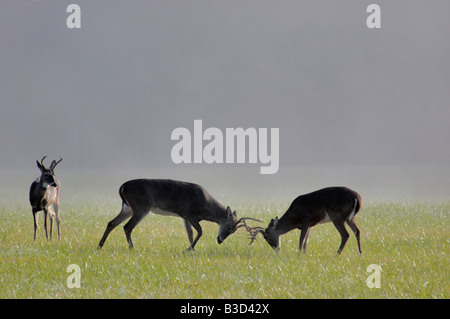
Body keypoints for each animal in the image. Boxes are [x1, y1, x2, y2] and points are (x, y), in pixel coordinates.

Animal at [97, 179, 262, 251]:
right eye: (229, 227)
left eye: (233, 231)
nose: (220, 240)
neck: (206, 207)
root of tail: (122, 187)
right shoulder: (190, 214)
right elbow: (200, 231)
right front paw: (189, 249)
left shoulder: (184, 216)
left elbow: (190, 233)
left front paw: (192, 249)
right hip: (141, 207)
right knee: (127, 227)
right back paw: (132, 248)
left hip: (128, 207)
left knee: (111, 223)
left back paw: (100, 246)